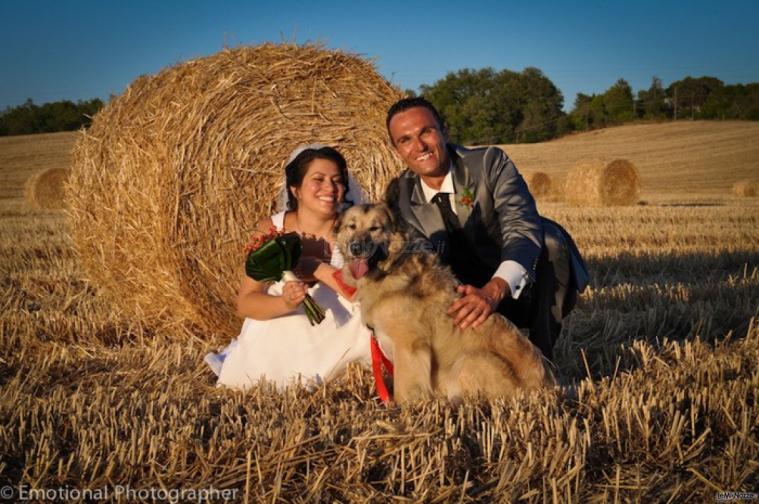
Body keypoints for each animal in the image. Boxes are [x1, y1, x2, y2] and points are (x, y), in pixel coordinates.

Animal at [336, 203, 552, 404]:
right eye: (352, 226)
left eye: (375, 228)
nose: (355, 248)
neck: (391, 270)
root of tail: (548, 388)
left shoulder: (409, 346)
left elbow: (404, 388)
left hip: (470, 360)